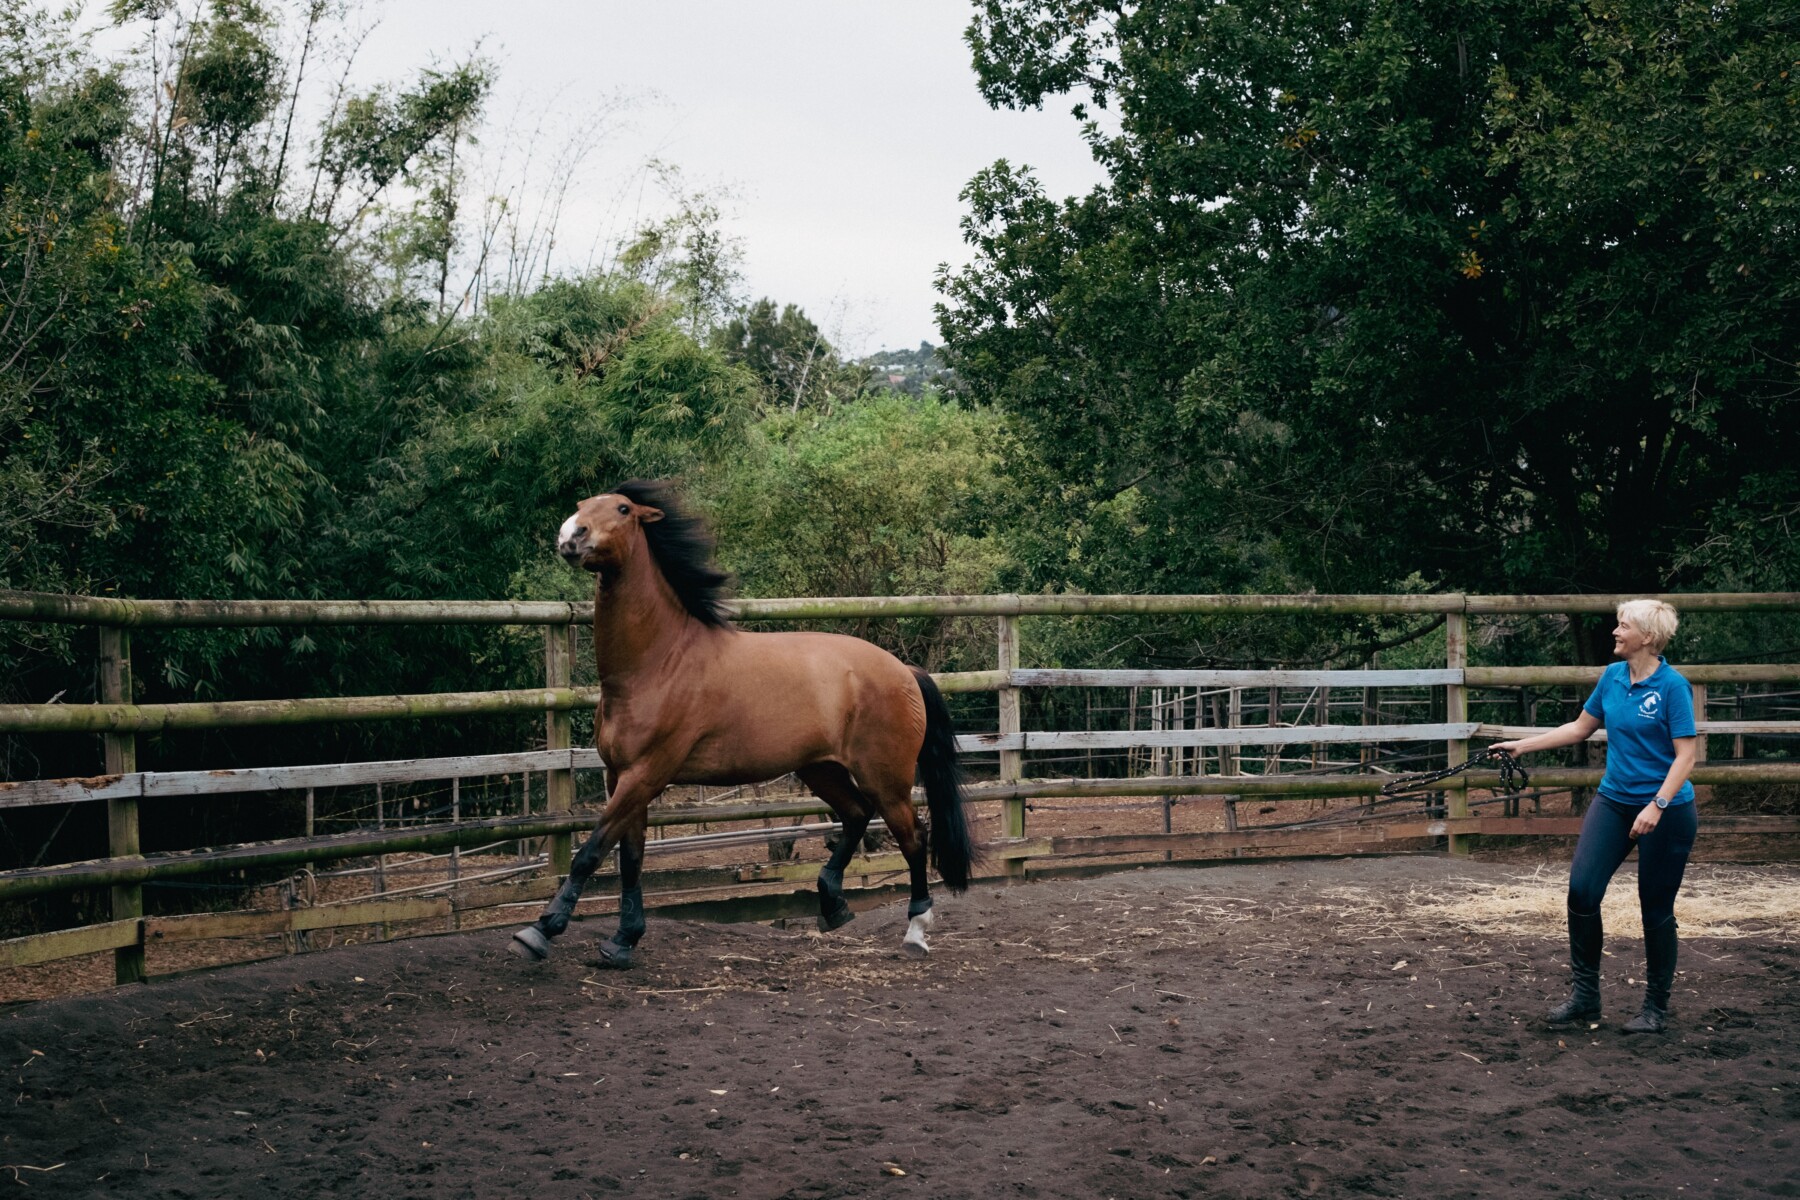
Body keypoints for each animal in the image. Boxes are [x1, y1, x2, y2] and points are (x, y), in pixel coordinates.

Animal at [507, 478, 986, 964]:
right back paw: (833, 905)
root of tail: (903, 669)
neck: (658, 663)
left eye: (623, 509)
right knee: (855, 815)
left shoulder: (645, 775)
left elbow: (591, 851)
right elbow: (630, 859)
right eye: (582, 504)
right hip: (820, 768)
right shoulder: (619, 776)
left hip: (885, 778)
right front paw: (624, 940)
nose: (571, 536)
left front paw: (541, 930)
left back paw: (915, 930)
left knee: (913, 836)